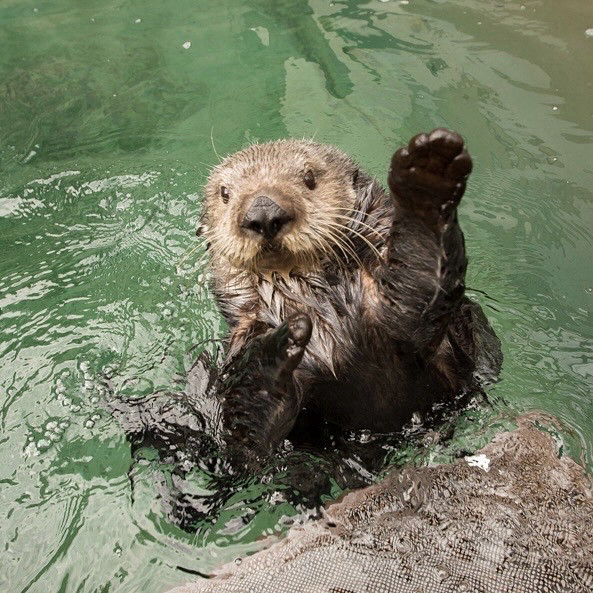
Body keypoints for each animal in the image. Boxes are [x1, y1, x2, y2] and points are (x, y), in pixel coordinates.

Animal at [199, 128, 500, 462]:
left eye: (309, 178)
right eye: (225, 193)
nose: (263, 212)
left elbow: (418, 290)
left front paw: (428, 179)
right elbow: (248, 444)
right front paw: (272, 350)